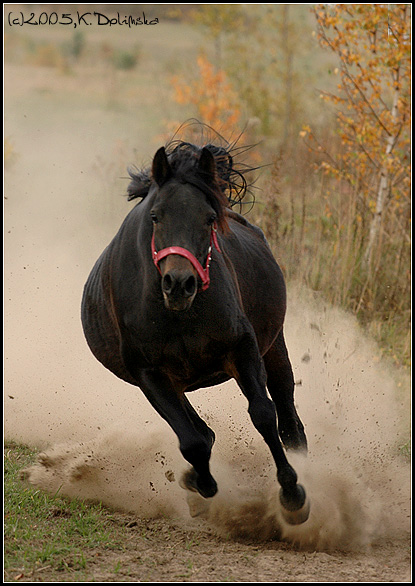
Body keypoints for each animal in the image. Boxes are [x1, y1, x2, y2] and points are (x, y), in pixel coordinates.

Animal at [82, 138, 308, 524]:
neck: (178, 316)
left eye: (209, 219)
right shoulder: (150, 374)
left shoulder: (243, 348)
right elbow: (192, 441)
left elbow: (263, 414)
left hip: (274, 346)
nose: (179, 283)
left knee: (288, 415)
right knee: (201, 431)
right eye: (155, 216)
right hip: (175, 382)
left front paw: (293, 495)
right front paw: (202, 486)